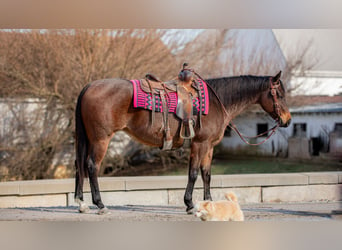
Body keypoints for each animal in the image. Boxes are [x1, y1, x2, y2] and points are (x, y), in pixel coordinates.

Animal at [74, 71, 292, 215]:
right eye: (279, 94)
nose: (287, 120)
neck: (217, 101)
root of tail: (89, 86)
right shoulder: (199, 144)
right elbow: (194, 174)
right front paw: (190, 204)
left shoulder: (209, 147)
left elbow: (207, 174)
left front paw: (208, 203)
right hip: (101, 139)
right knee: (92, 166)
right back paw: (100, 205)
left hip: (89, 139)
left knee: (80, 166)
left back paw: (82, 203)